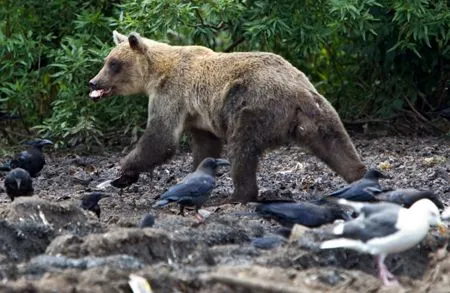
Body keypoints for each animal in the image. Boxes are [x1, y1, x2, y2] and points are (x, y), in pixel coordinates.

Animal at [89, 30, 368, 202]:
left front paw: (124, 171)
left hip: (251, 107)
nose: (93, 82)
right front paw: (195, 174)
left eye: (113, 64)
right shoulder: (199, 116)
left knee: (242, 149)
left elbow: (161, 139)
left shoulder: (171, 95)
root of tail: (297, 92)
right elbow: (205, 146)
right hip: (319, 111)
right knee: (337, 144)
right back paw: (360, 176)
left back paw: (238, 195)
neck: (155, 74)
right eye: (106, 60)